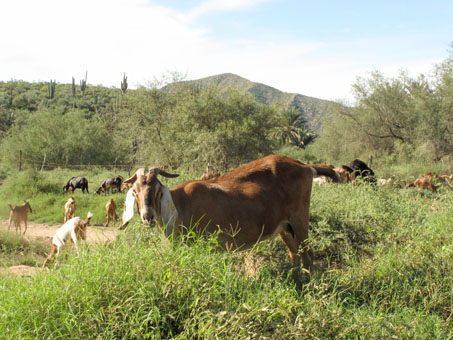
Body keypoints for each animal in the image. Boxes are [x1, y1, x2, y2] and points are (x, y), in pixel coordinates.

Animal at [122, 155, 338, 270]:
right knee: (295, 254)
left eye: (158, 191)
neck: (179, 204)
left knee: (308, 256)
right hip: (285, 227)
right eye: (135, 191)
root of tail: (304, 166)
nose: (148, 216)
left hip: (299, 220)